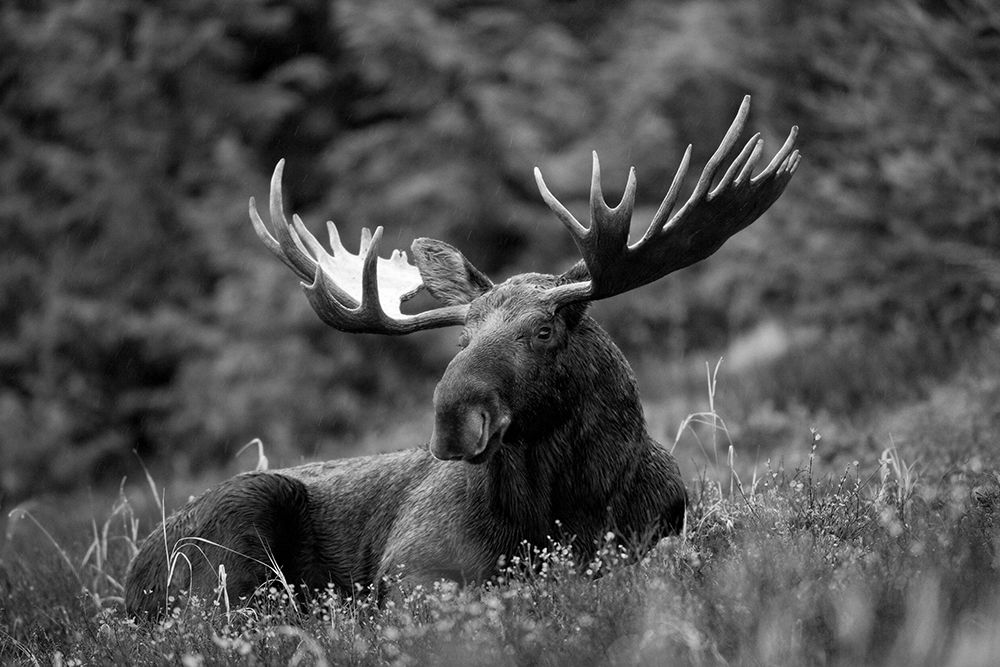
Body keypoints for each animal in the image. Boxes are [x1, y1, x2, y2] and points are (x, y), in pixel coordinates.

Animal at [124, 96, 799, 619]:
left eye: (544, 330)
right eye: (462, 338)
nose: (453, 420)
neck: (565, 507)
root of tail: (130, 582)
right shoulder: (410, 569)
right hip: (235, 538)